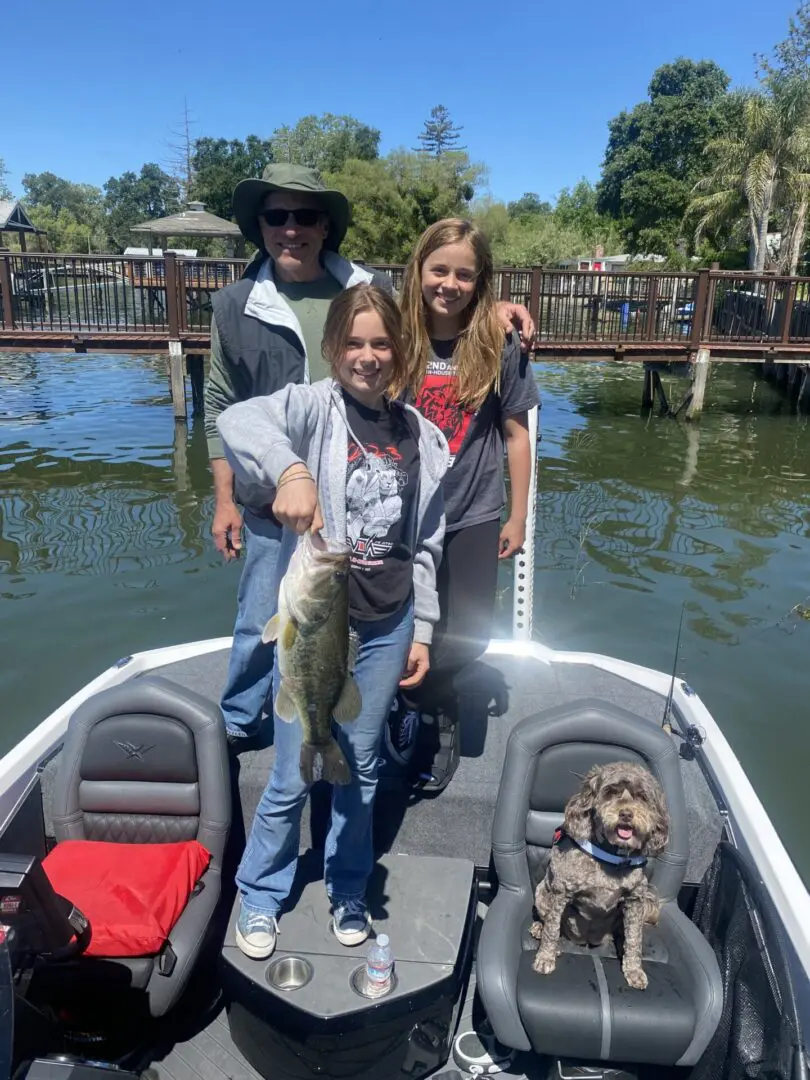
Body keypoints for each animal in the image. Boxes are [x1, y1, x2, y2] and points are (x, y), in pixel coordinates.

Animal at [529, 760, 669, 989]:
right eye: (611, 792)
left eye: (642, 796)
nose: (626, 814)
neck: (610, 855)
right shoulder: (561, 891)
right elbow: (552, 928)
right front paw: (545, 957)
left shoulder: (635, 899)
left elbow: (634, 938)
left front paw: (633, 970)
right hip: (542, 892)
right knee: (549, 921)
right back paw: (541, 931)